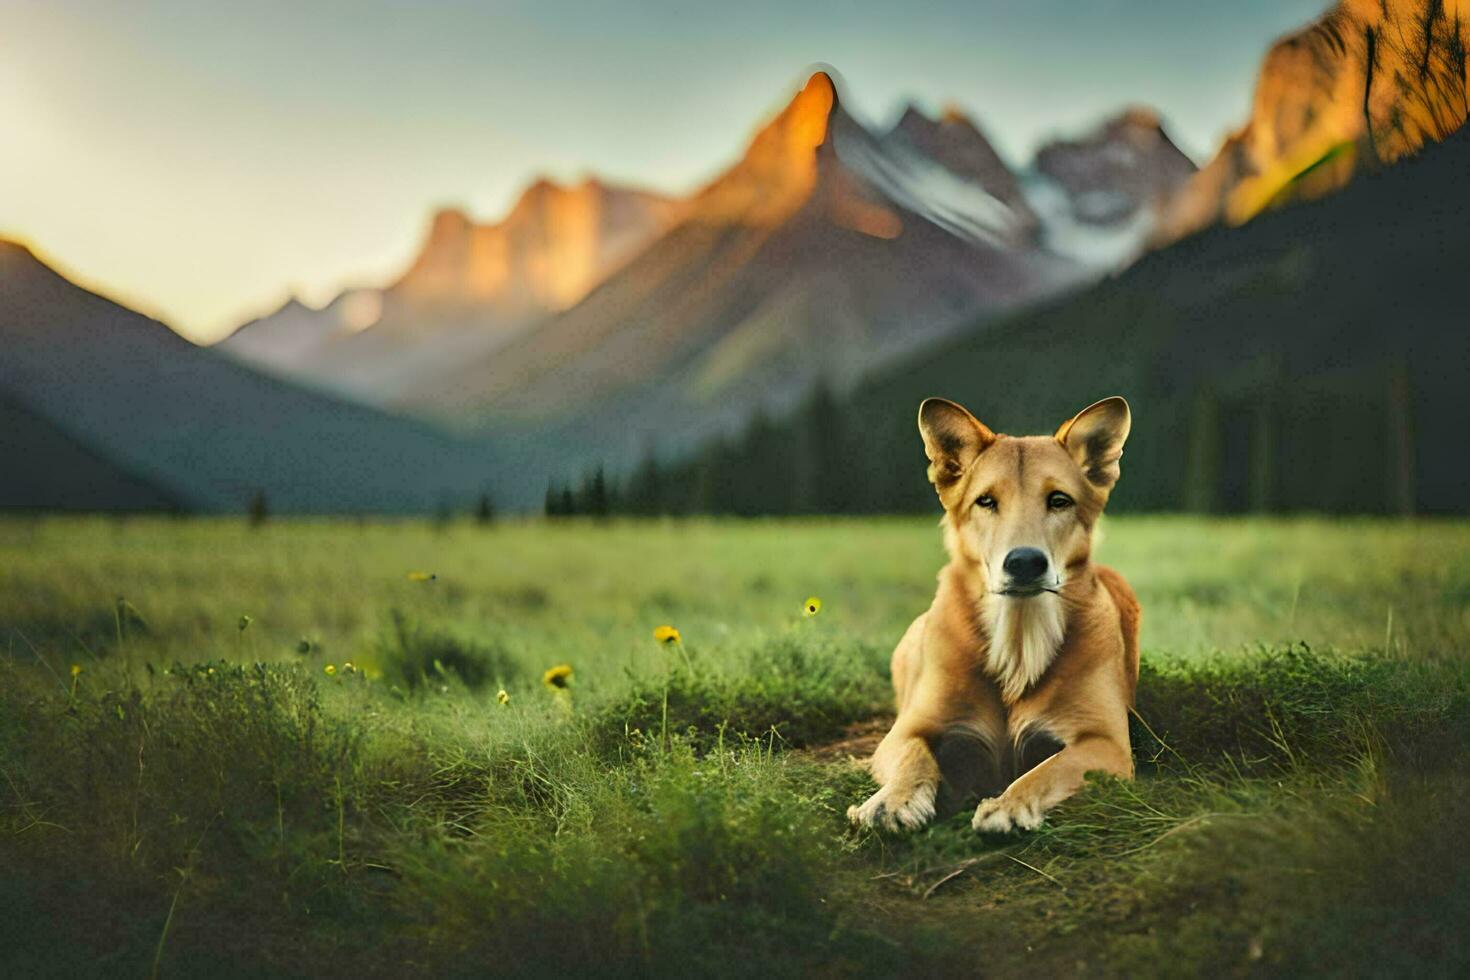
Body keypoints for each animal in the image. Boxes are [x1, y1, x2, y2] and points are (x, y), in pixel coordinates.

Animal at [846, 393, 1140, 834]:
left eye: (1059, 500)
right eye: (985, 501)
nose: (1024, 562)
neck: (1018, 639)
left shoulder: (1106, 742)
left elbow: (1049, 769)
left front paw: (1009, 805)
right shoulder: (908, 730)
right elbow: (914, 756)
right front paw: (891, 802)